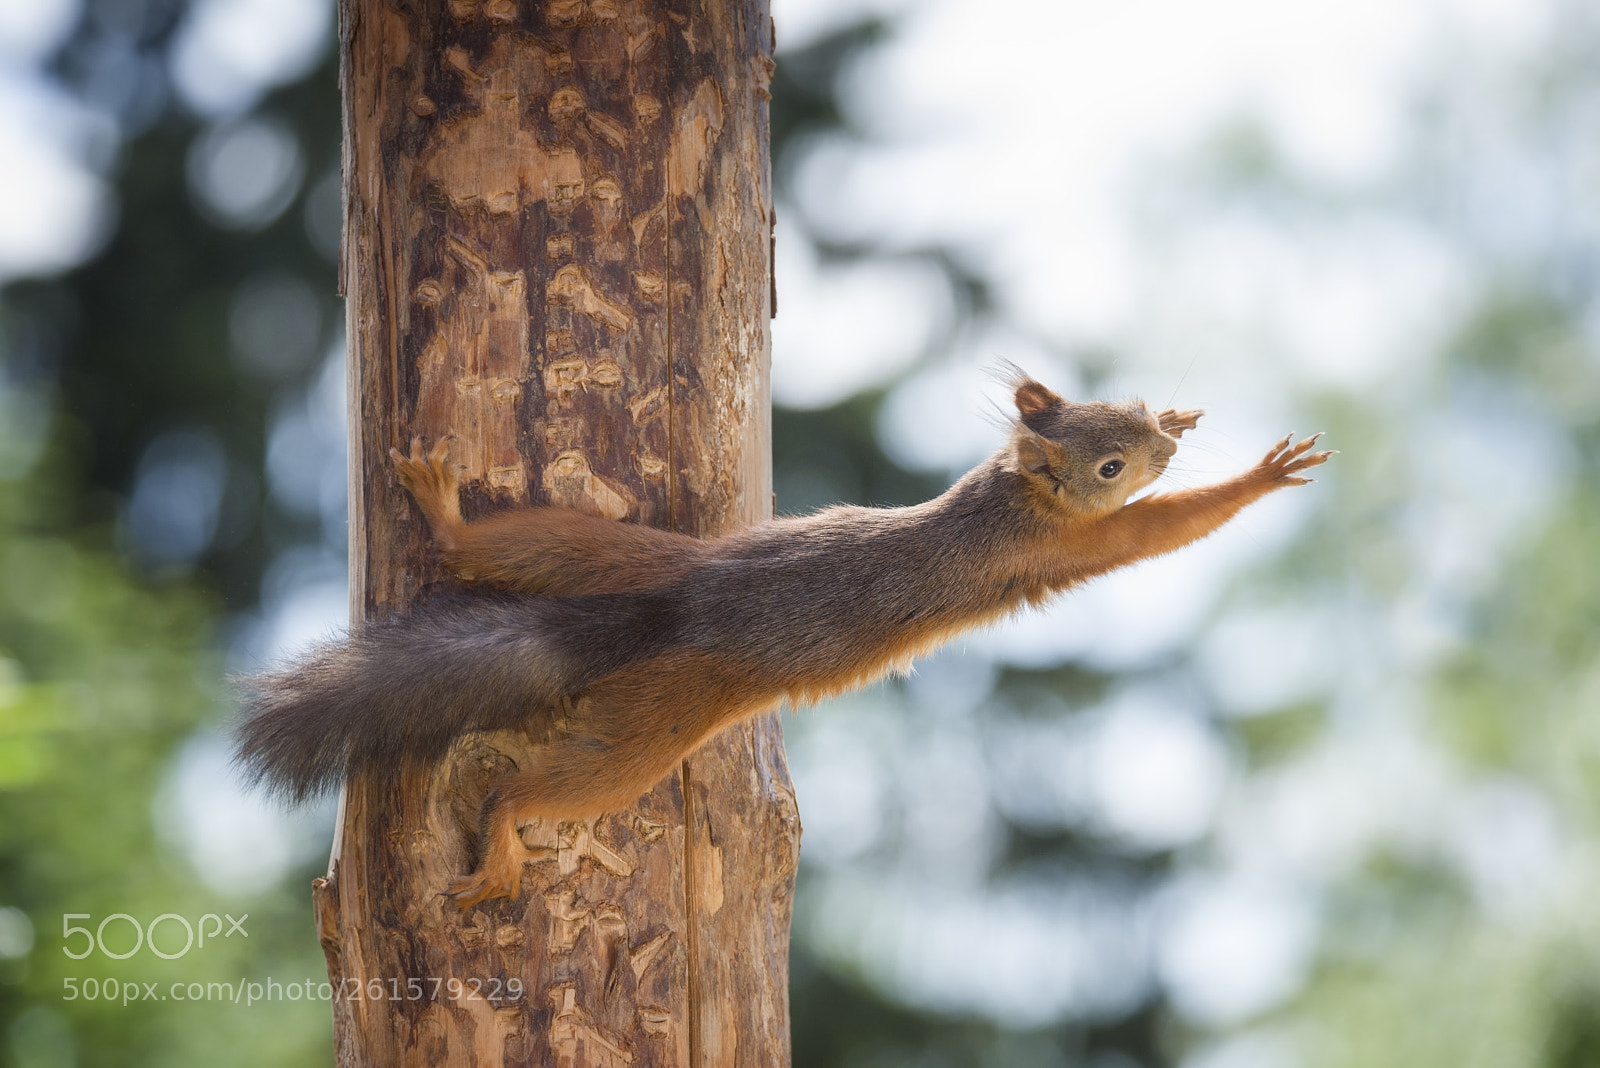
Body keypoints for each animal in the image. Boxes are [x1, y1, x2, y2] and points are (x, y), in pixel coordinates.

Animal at [235, 371, 1333, 908]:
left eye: (1128, 407)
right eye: (1109, 465)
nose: (1165, 438)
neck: (1005, 494)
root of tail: (661, 619)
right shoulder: (1069, 546)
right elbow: (1165, 529)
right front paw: (1257, 475)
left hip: (612, 553)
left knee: (506, 544)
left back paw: (442, 509)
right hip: (658, 719)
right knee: (543, 788)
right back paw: (505, 840)